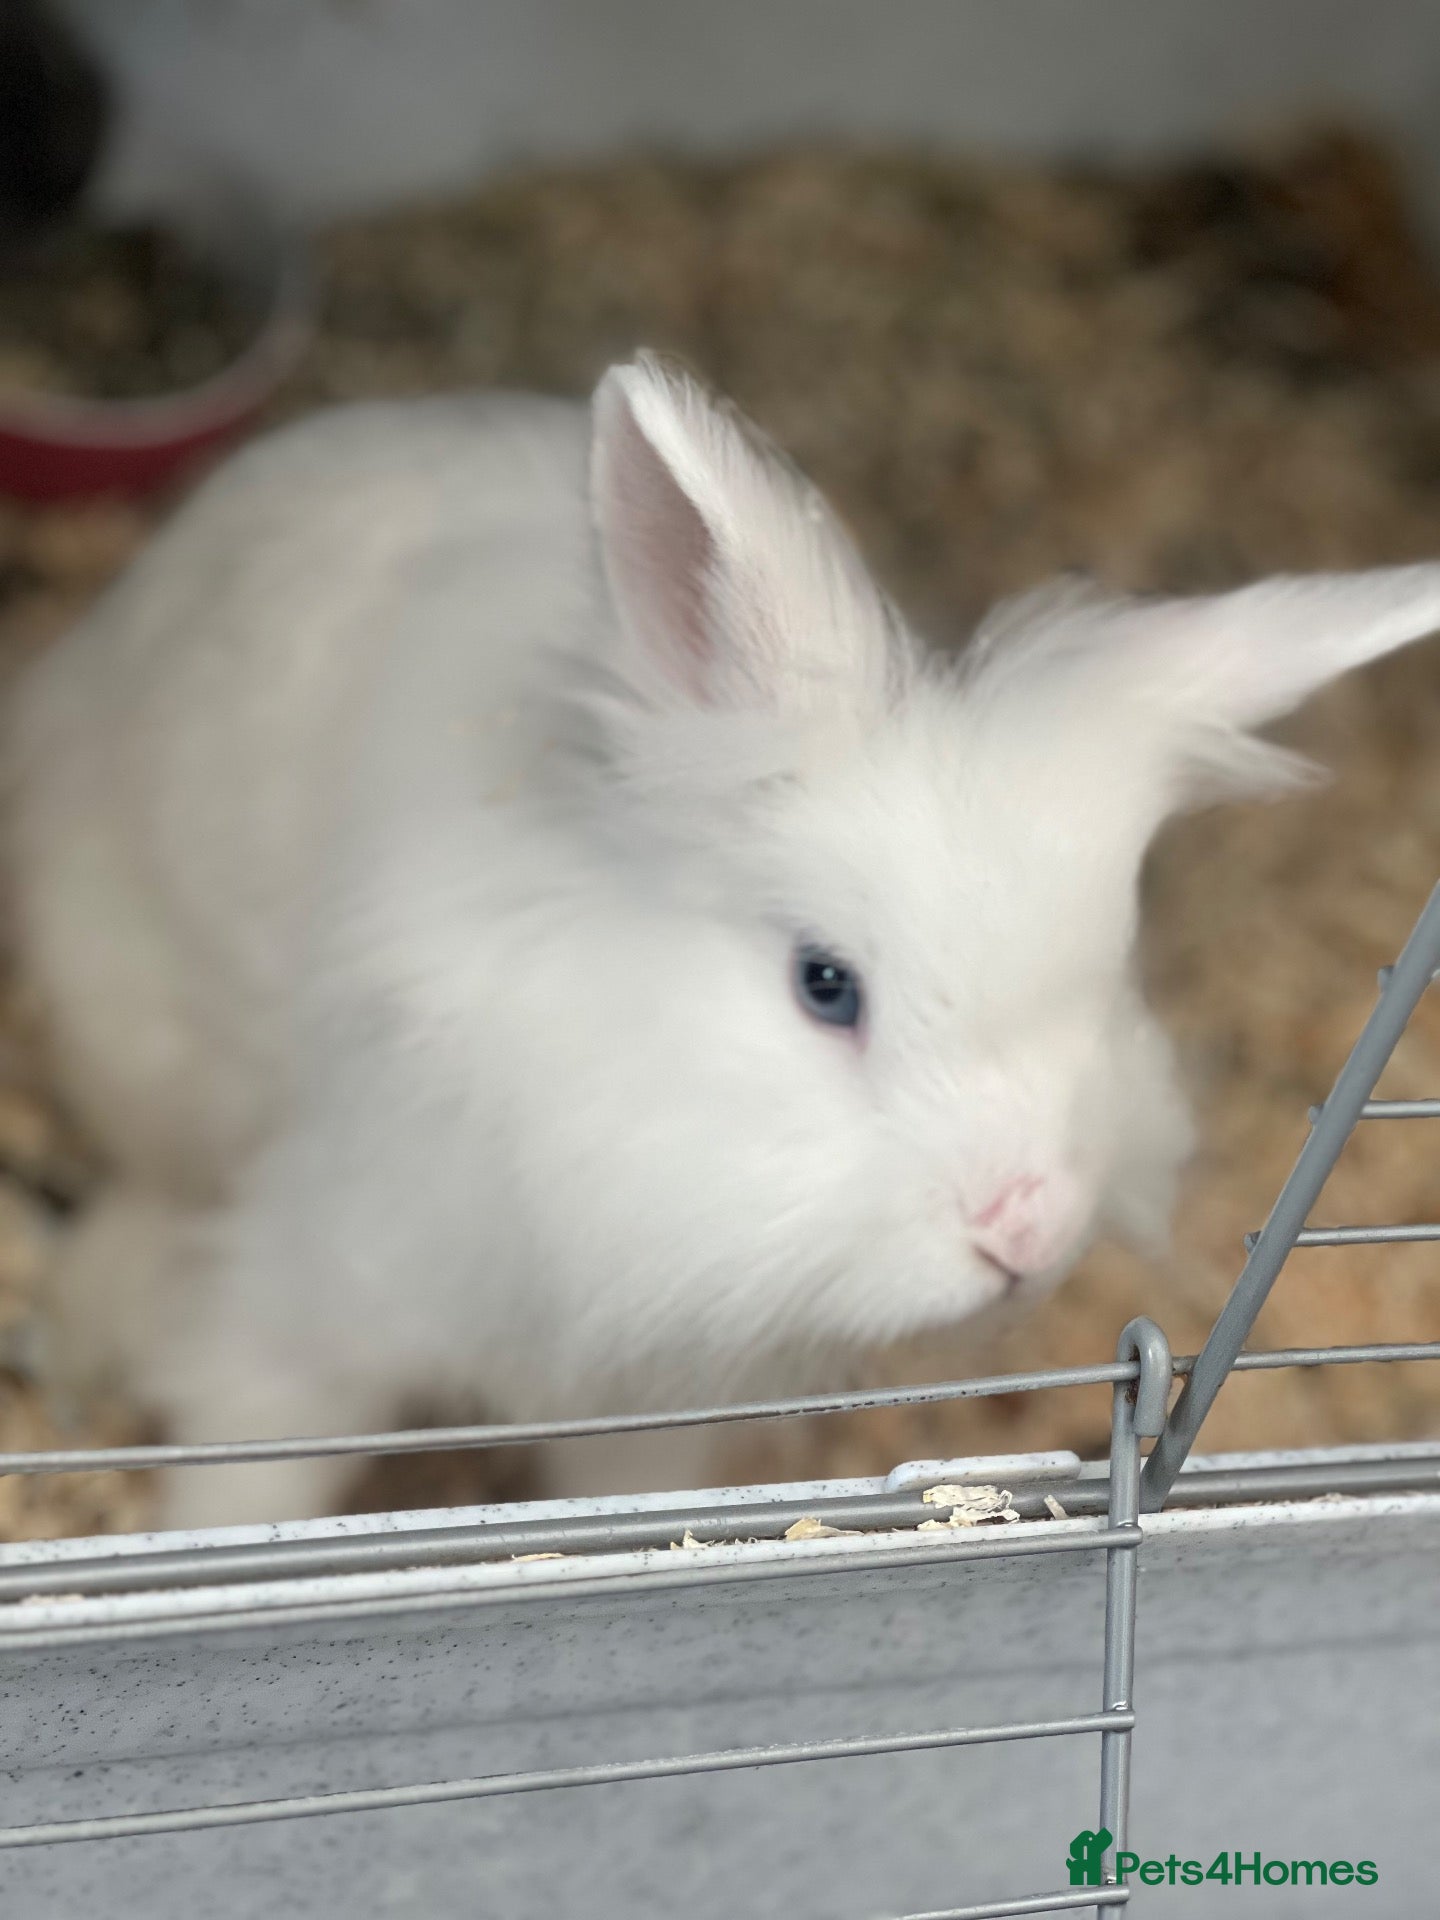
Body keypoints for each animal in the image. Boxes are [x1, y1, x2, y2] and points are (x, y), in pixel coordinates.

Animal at [9, 350, 1440, 1530]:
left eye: (1110, 976)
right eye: (825, 985)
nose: (1024, 1232)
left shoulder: (648, 1401)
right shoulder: (321, 1294)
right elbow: (250, 1469)